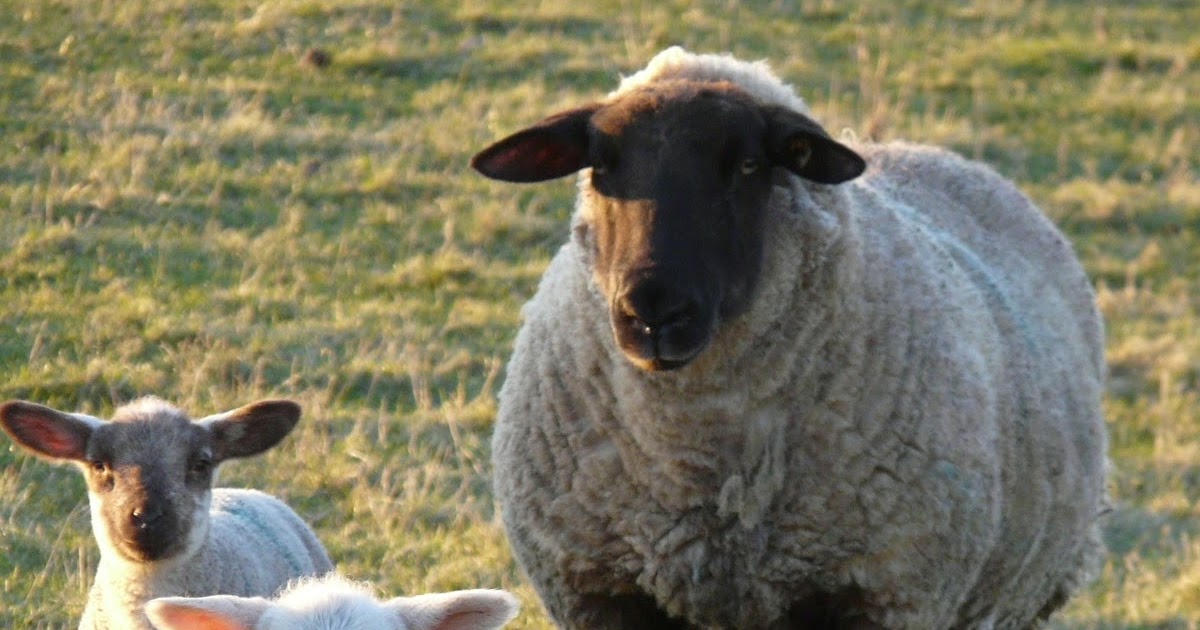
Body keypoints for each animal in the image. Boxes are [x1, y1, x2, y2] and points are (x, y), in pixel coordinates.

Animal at [469, 47, 1109, 629]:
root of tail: (933, 152)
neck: (699, 459)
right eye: (600, 166)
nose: (653, 311)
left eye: (749, 165)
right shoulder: (601, 591)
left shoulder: (879, 592)